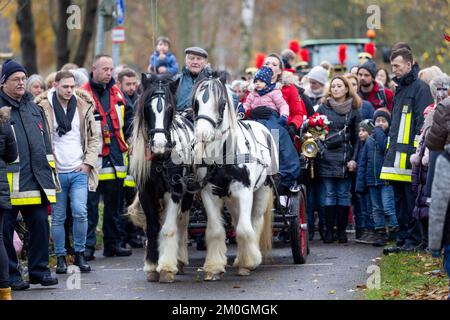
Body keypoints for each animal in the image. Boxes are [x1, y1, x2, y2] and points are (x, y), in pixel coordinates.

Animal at [128, 73, 195, 282]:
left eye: (169, 108)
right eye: (147, 108)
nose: (159, 145)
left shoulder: (174, 191)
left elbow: (168, 227)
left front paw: (166, 267)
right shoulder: (146, 193)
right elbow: (152, 227)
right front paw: (151, 266)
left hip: (187, 194)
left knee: (182, 222)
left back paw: (179, 260)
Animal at [191, 75, 278, 280]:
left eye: (221, 103)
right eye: (196, 103)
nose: (202, 134)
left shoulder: (245, 191)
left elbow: (245, 229)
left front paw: (248, 263)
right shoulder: (210, 193)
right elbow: (216, 230)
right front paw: (214, 266)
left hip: (263, 190)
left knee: (254, 221)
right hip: (231, 198)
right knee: (238, 219)